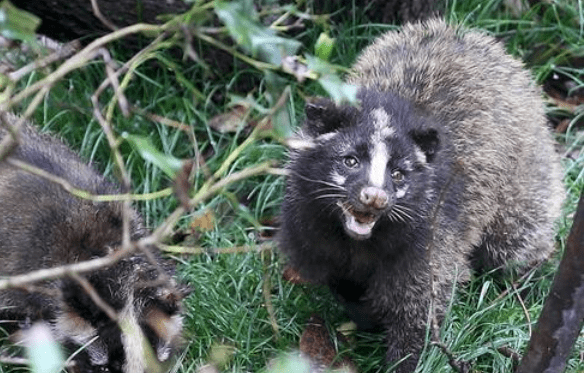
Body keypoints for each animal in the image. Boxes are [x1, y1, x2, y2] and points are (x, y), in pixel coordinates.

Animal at [280, 18, 564, 370]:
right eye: (350, 160)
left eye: (398, 173)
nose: (375, 197)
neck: (360, 242)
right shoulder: (310, 227)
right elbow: (339, 279)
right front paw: (361, 309)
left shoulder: (430, 238)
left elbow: (419, 313)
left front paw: (405, 360)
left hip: (522, 177)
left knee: (515, 240)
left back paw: (526, 279)